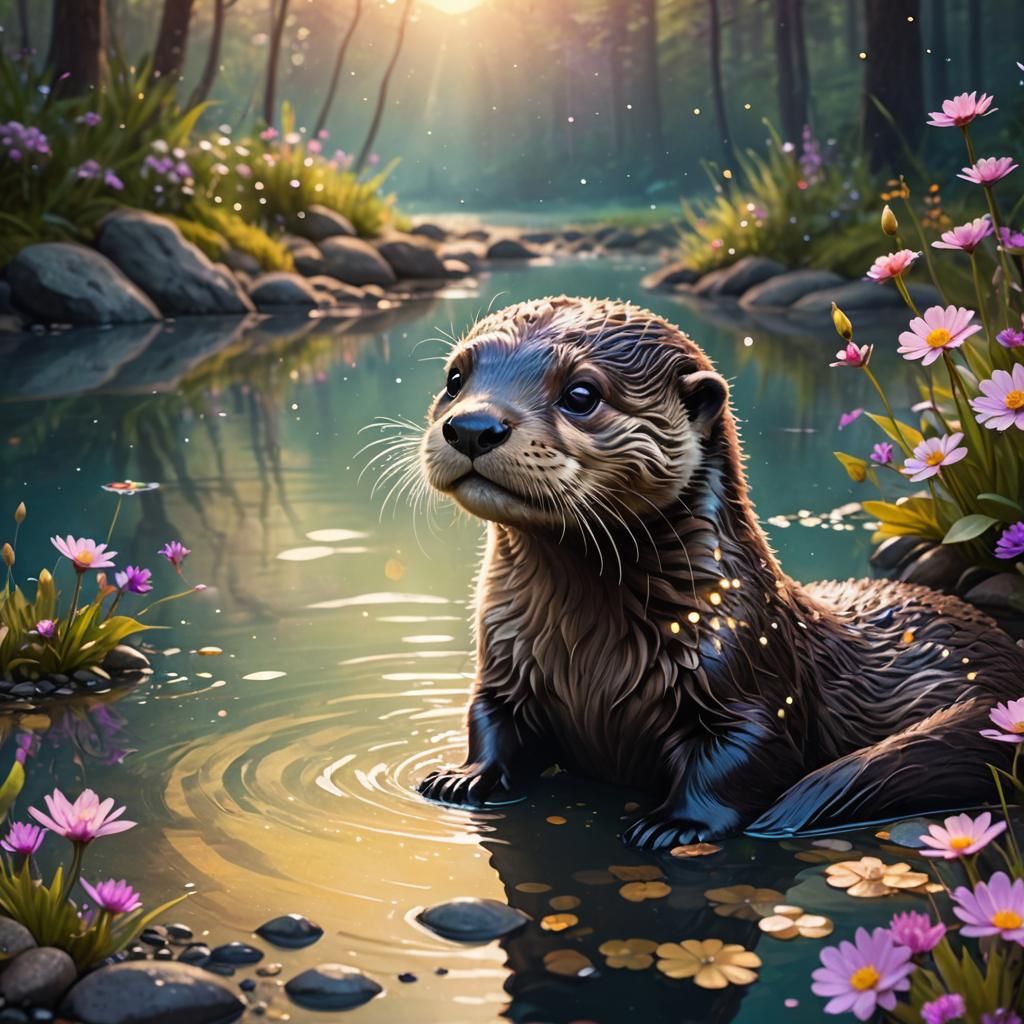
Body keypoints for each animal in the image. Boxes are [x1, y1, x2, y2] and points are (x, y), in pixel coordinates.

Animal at [411, 296, 1023, 847]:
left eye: (581, 394)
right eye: (455, 378)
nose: (472, 426)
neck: (584, 655)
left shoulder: (748, 669)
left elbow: (741, 757)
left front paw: (676, 823)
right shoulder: (505, 664)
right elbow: (489, 720)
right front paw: (463, 776)